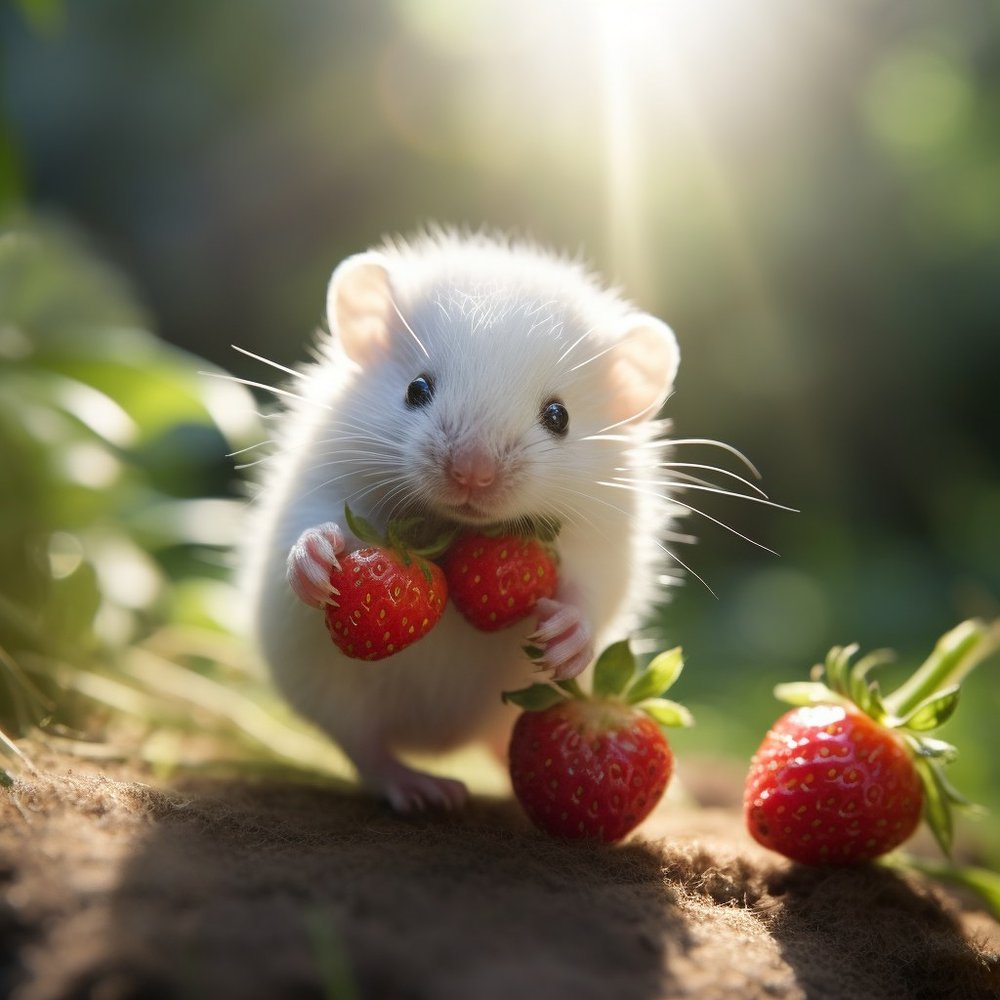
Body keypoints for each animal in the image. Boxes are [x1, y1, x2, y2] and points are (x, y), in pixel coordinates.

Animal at [241, 230, 680, 812]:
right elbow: (307, 525)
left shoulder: (607, 536)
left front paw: (565, 638)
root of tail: (444, 741)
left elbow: (591, 589)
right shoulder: (322, 478)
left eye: (558, 416)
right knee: (367, 753)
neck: (456, 528)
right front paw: (315, 559)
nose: (473, 472)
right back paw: (423, 789)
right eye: (416, 389)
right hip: (336, 697)